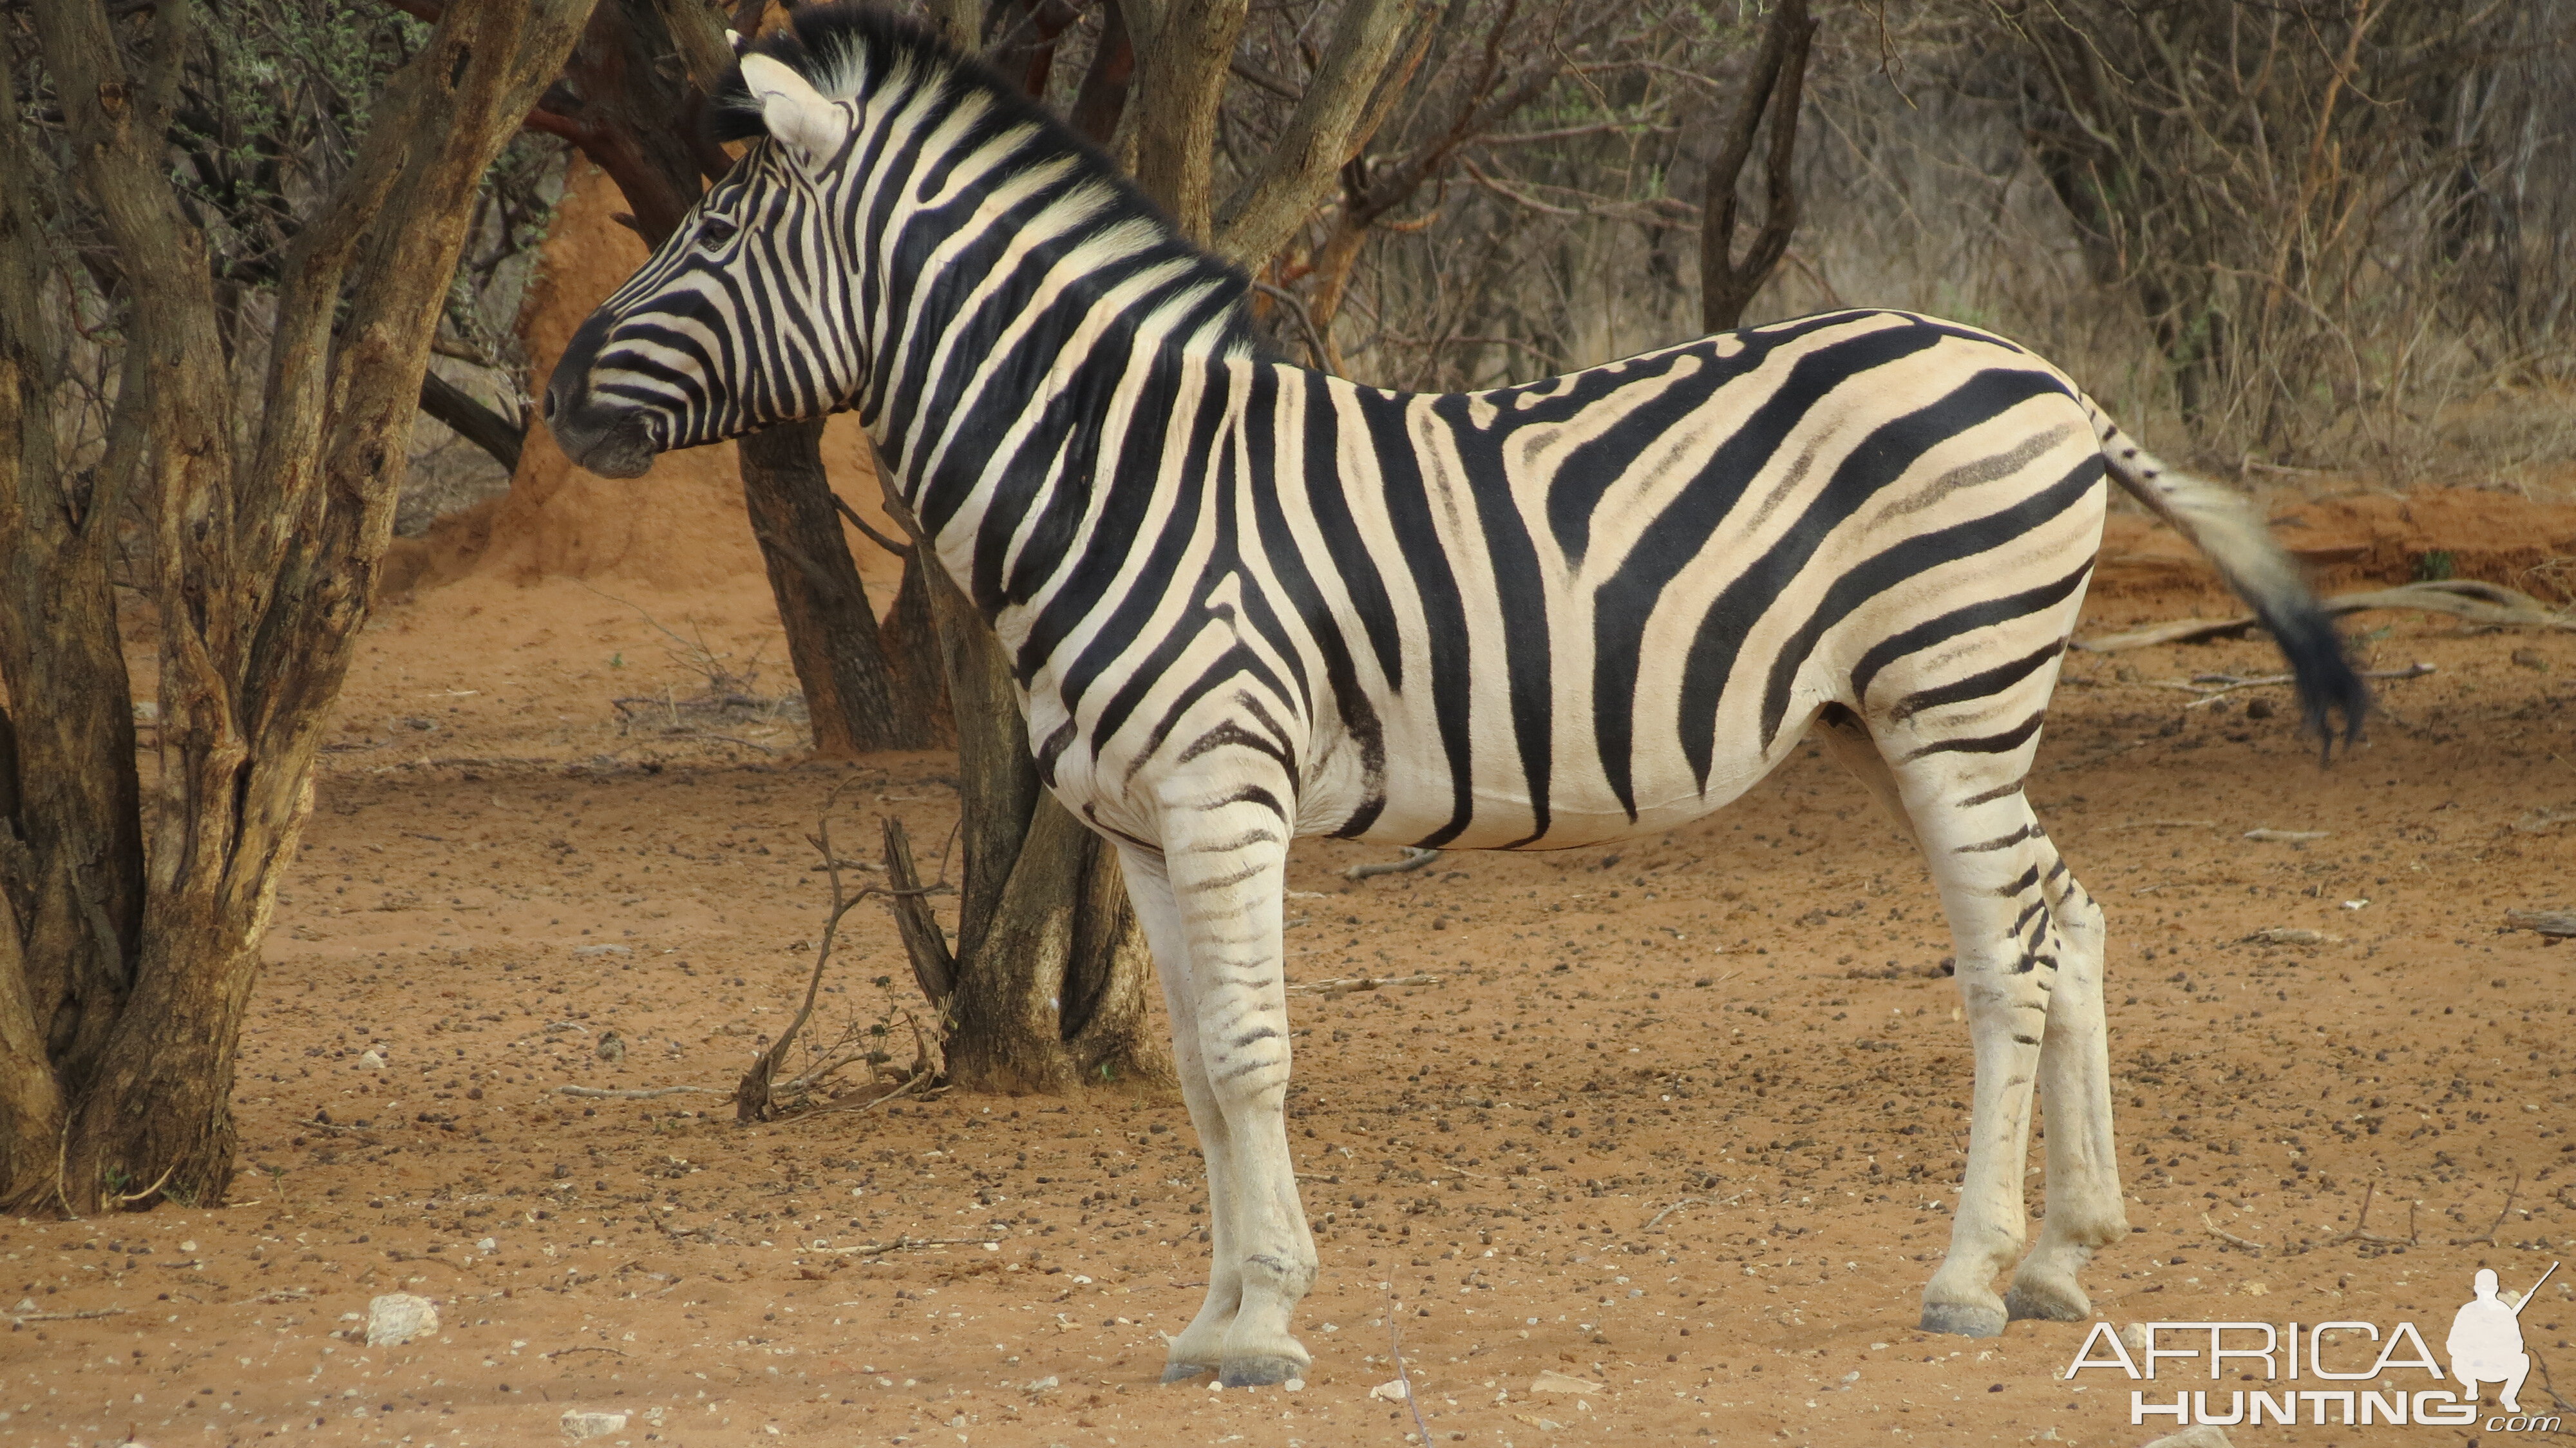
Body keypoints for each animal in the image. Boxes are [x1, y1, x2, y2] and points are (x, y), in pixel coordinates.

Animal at [549, 8, 2370, 1391]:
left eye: (715, 233)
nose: (561, 396)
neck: (1115, 473)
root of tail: (2044, 376)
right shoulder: (1135, 822)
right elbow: (1195, 1066)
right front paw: (1210, 1317)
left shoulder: (1223, 788)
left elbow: (1255, 1055)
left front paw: (1268, 1323)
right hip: (1917, 710)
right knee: (2072, 913)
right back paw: (2065, 1252)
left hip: (1951, 693)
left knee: (2007, 958)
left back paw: (1971, 1270)